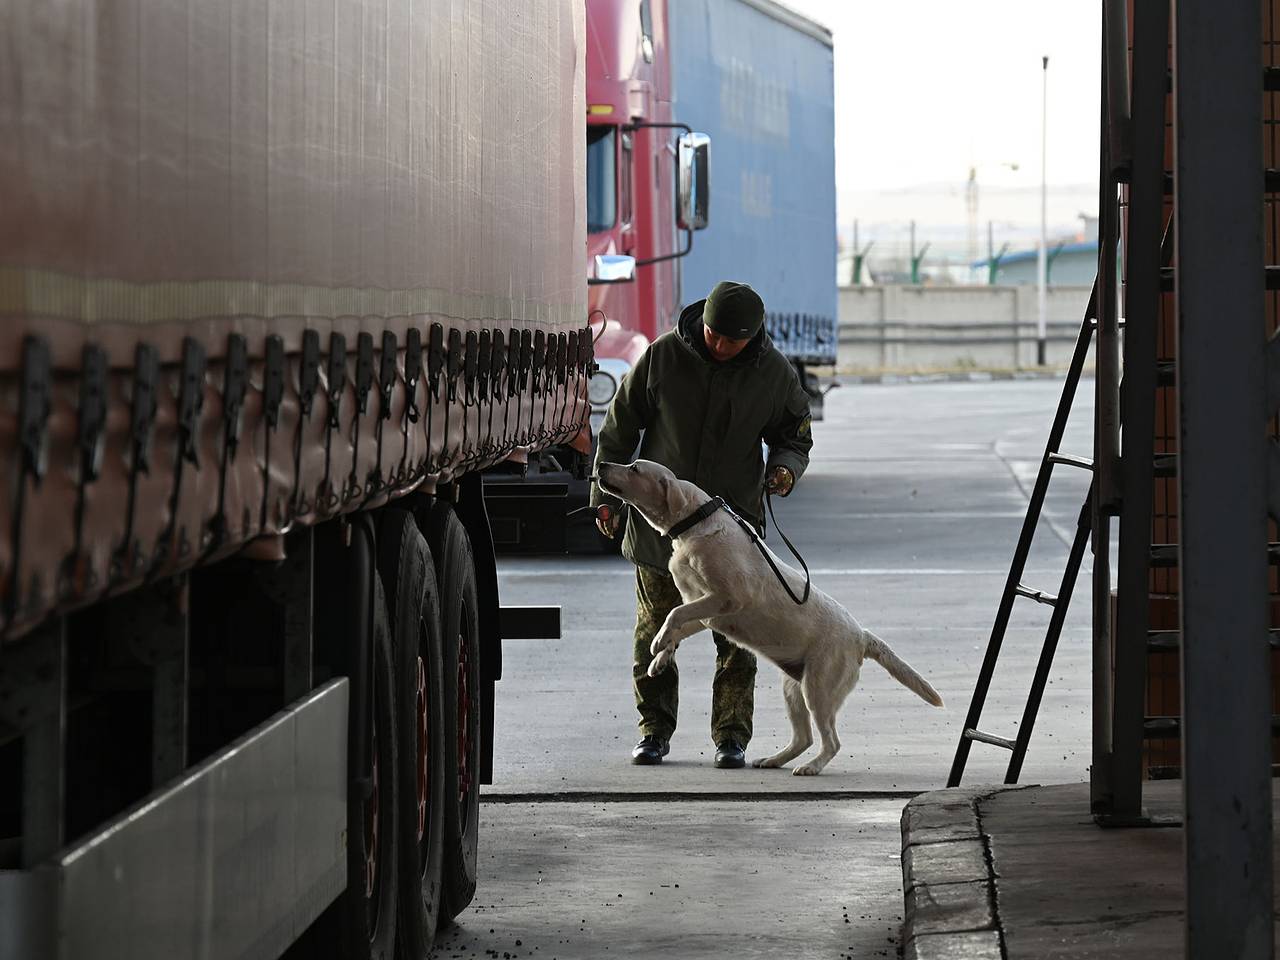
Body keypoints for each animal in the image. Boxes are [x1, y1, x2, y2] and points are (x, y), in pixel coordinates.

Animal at [593, 463, 947, 778]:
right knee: (804, 737)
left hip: (818, 689)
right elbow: (676, 623)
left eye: (635, 468)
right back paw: (775, 760)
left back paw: (811, 767)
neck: (694, 526)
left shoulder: (727, 598)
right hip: (794, 689)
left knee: (831, 741)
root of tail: (861, 635)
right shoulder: (704, 610)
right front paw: (659, 659)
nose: (603, 465)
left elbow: (673, 615)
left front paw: (657, 644)